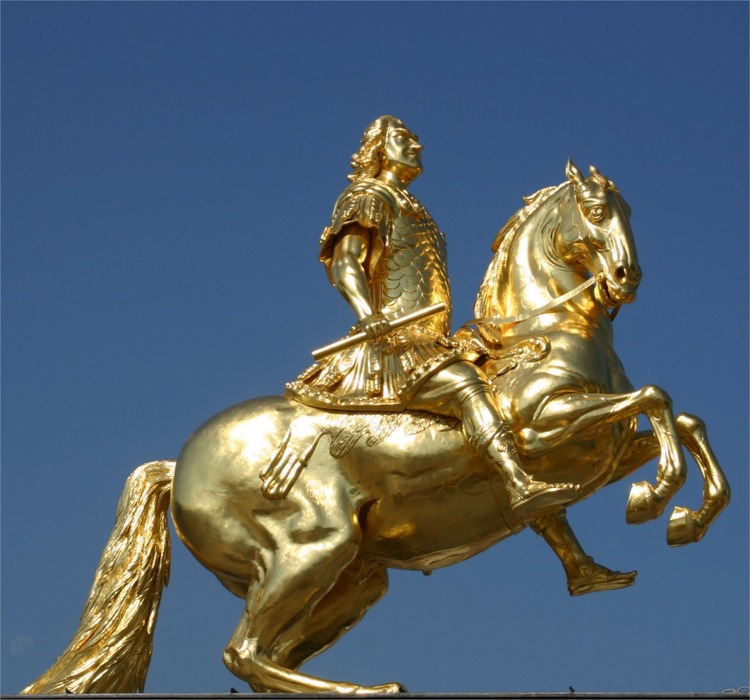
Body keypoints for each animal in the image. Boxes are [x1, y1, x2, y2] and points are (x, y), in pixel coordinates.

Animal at [20, 163, 732, 696]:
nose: (627, 278)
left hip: (354, 579)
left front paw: (682, 519)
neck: (543, 332)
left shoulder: (603, 451)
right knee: (243, 652)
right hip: (313, 548)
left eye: (629, 208)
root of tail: (178, 463)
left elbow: (681, 418)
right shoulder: (544, 431)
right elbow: (656, 399)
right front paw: (655, 500)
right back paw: (368, 689)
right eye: (594, 209)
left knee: (266, 657)